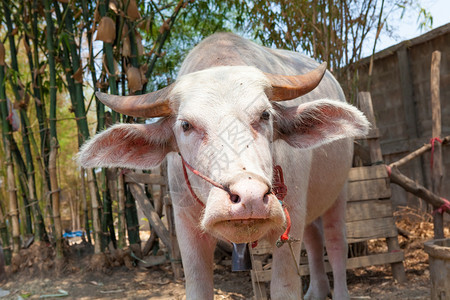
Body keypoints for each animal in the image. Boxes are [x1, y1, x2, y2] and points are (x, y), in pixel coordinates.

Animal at [78, 32, 370, 298]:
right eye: (186, 125)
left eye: (265, 115)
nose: (250, 198)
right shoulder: (185, 228)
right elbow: (198, 288)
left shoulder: (290, 220)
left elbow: (285, 287)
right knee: (314, 242)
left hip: (338, 192)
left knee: (335, 242)